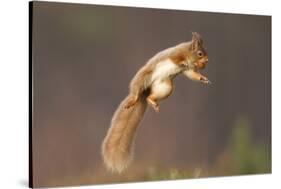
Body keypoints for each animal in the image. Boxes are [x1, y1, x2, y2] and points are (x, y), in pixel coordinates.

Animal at [101, 32, 210, 173]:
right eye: (200, 53)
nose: (207, 61)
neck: (188, 53)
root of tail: (146, 91)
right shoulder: (175, 54)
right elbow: (176, 59)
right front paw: (183, 62)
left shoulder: (189, 70)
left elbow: (192, 75)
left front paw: (204, 79)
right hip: (143, 77)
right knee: (136, 91)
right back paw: (133, 100)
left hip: (166, 87)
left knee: (150, 97)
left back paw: (152, 102)